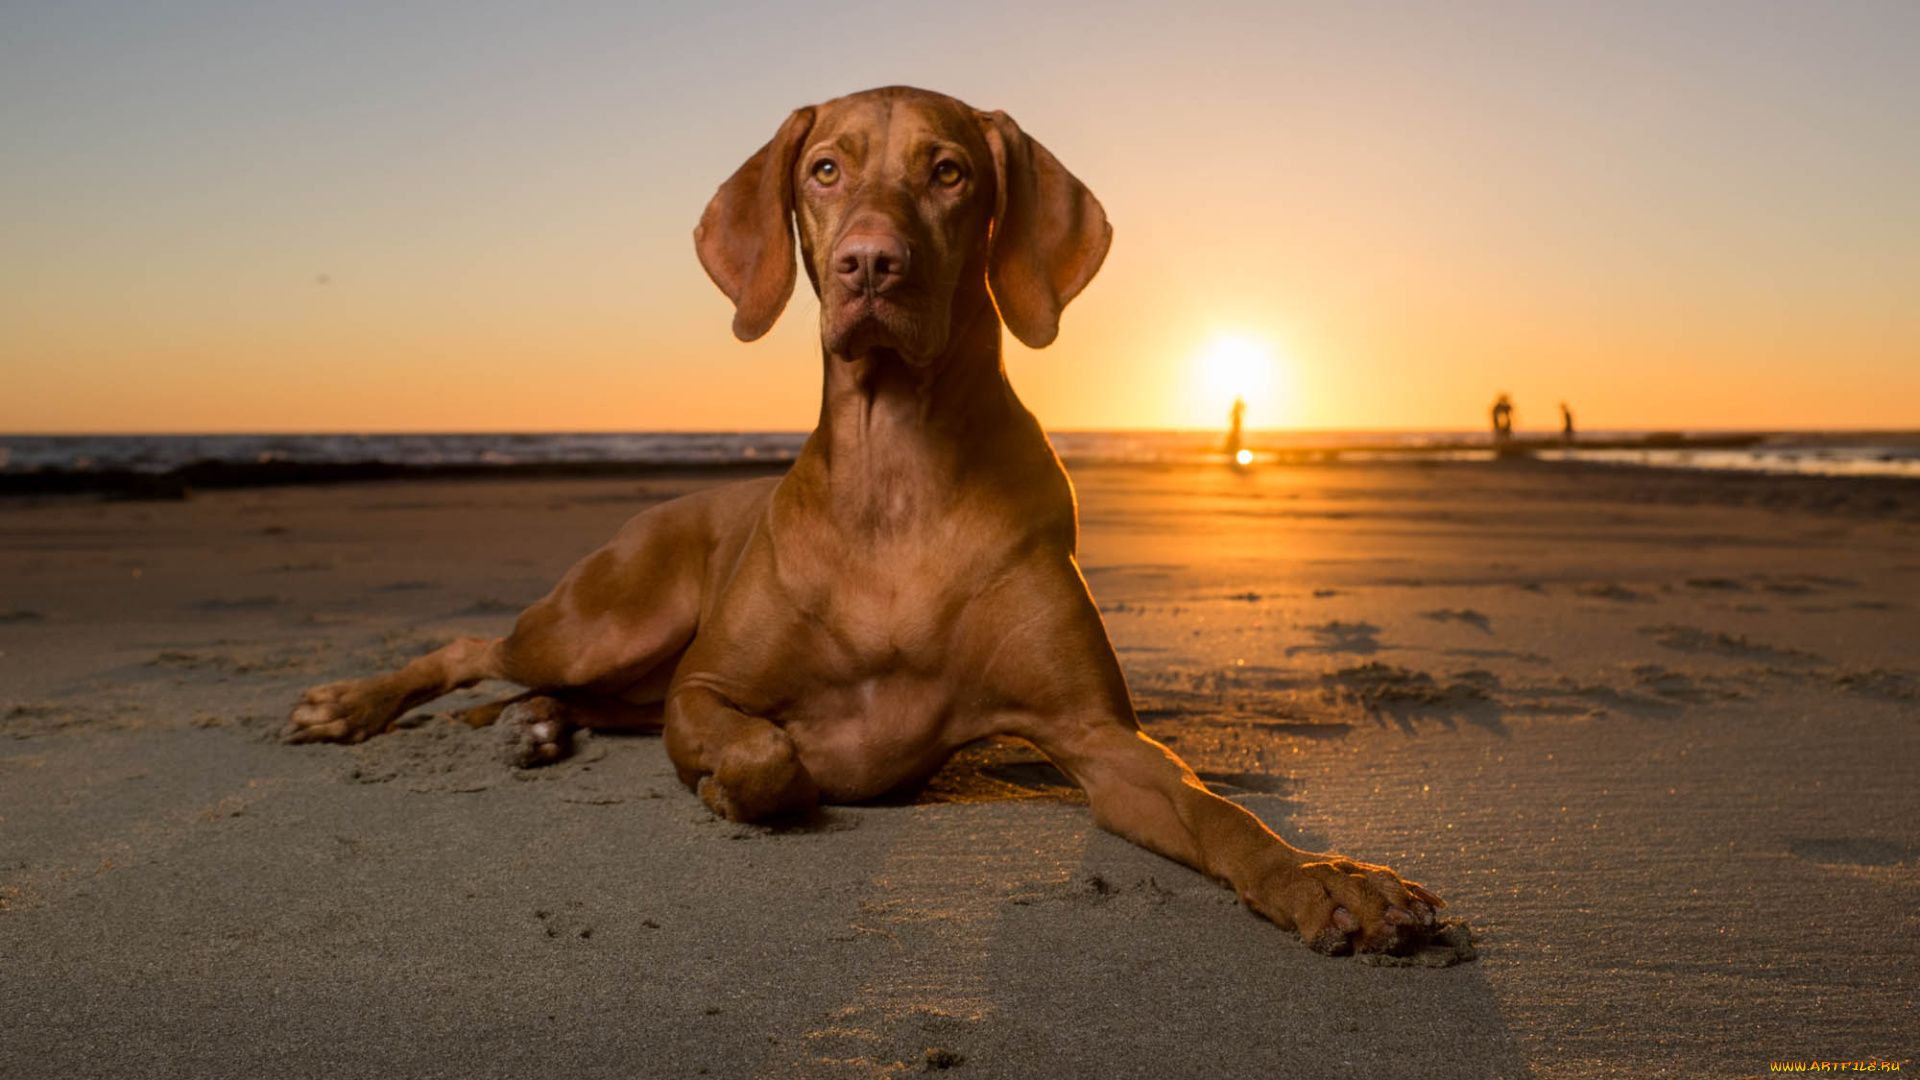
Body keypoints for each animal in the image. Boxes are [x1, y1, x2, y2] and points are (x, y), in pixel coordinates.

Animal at [288, 88, 1443, 953]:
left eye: (951, 172)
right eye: (825, 171)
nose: (870, 264)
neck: (898, 475)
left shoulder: (1100, 741)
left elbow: (1220, 811)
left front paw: (1323, 878)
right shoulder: (705, 690)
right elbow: (768, 756)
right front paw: (736, 786)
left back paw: (533, 725)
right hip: (611, 620)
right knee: (474, 645)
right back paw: (356, 702)